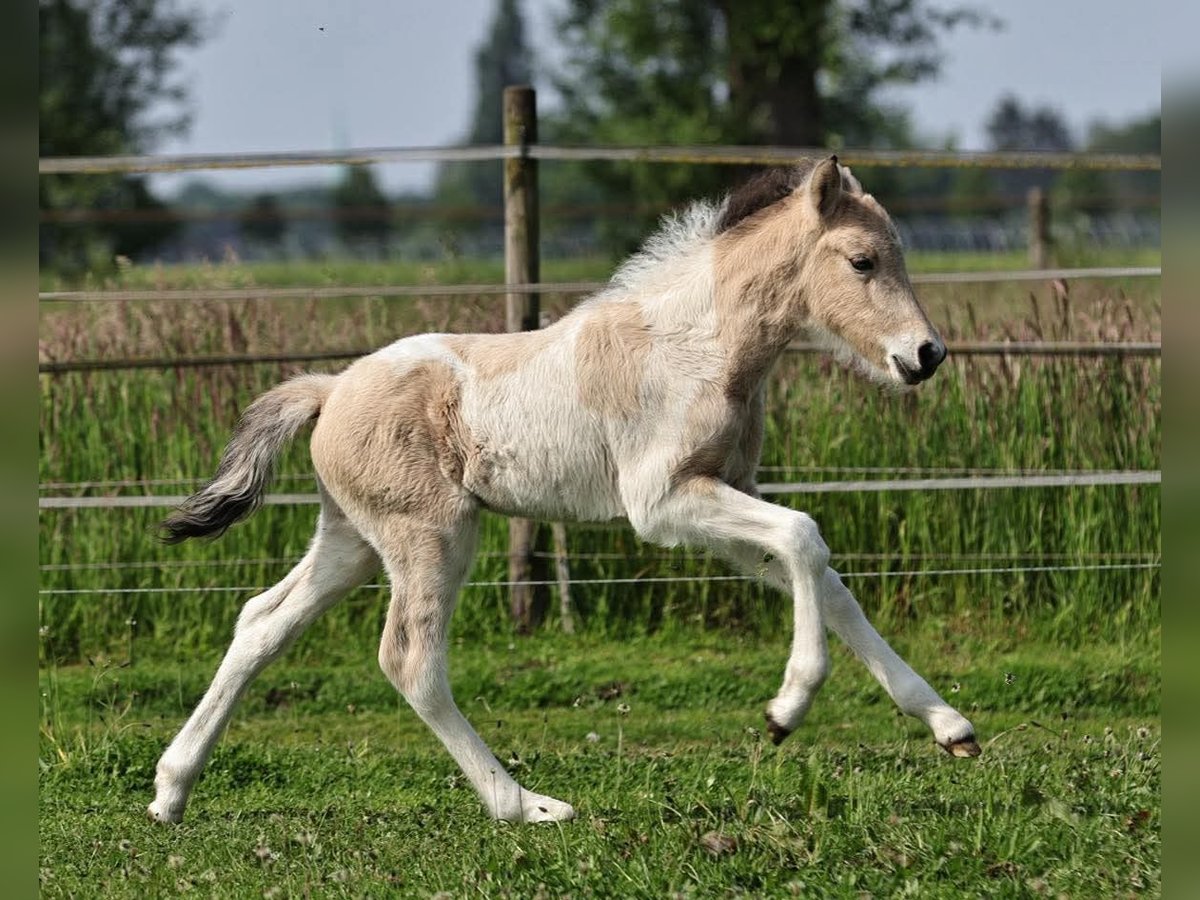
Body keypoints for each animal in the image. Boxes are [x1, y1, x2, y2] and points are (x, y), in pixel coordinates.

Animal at [150, 158, 979, 830]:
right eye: (863, 261)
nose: (926, 355)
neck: (698, 346)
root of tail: (328, 390)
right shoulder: (663, 503)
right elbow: (806, 535)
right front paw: (787, 709)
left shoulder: (725, 498)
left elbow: (828, 582)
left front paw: (949, 725)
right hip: (431, 536)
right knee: (409, 659)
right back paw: (525, 805)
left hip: (352, 540)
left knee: (262, 623)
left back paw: (170, 790)